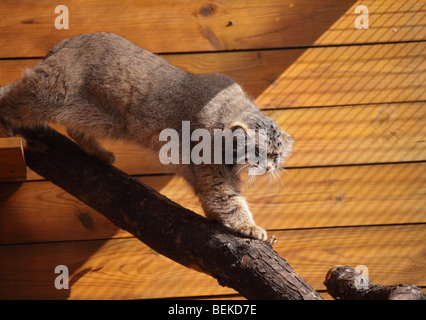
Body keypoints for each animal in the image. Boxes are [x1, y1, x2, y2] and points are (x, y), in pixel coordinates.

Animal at [0, 32, 292, 240]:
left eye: (276, 156)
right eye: (258, 152)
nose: (269, 168)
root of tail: (64, 42)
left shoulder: (202, 171)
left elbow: (212, 197)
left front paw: (217, 217)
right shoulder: (212, 170)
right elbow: (230, 200)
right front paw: (249, 227)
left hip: (102, 118)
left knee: (74, 128)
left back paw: (100, 153)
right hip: (50, 91)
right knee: (10, 95)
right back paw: (6, 128)